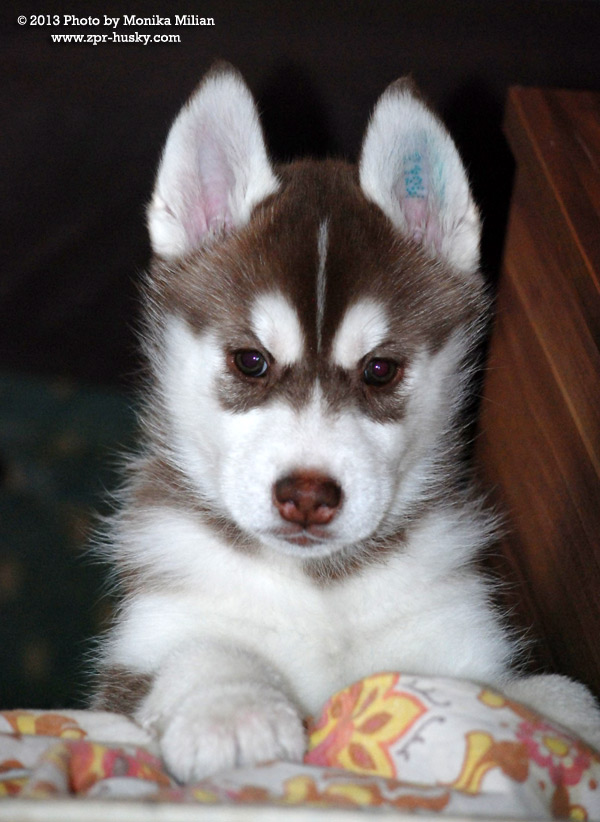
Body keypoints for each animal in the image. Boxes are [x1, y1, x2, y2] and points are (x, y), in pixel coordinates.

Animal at [93, 65, 600, 782]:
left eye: (380, 370)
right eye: (251, 361)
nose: (307, 495)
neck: (319, 587)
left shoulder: (461, 638)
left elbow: (545, 691)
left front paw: (564, 718)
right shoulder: (138, 651)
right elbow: (194, 652)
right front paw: (231, 707)